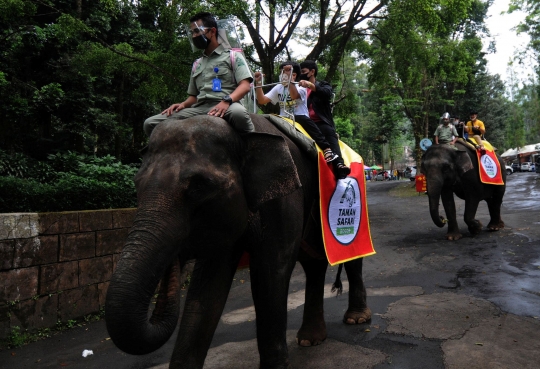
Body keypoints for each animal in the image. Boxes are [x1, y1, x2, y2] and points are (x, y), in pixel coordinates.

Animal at [103, 113, 370, 366]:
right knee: (314, 264)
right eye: (137, 184)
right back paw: (309, 340)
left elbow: (270, 273)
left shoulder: (285, 199)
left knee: (352, 258)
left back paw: (356, 318)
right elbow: (208, 285)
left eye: (199, 187)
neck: (244, 134)